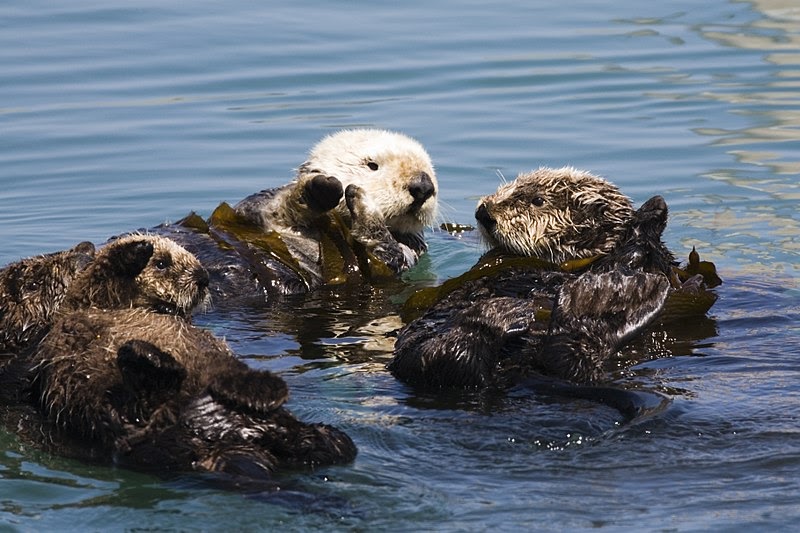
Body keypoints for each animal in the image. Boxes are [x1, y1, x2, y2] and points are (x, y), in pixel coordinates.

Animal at [10, 235, 355, 478]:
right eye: (163, 263)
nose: (203, 277)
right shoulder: (91, 296)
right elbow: (102, 275)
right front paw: (137, 250)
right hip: (123, 410)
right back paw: (152, 361)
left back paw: (265, 392)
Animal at [154, 129, 438, 301]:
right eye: (372, 165)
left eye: (429, 168)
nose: (423, 186)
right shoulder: (253, 211)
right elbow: (268, 205)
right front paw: (319, 190)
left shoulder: (406, 253)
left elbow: (383, 254)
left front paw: (363, 202)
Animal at [389, 167, 719, 391]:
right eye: (507, 187)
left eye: (537, 200)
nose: (484, 213)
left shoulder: (656, 262)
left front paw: (652, 211)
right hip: (414, 357)